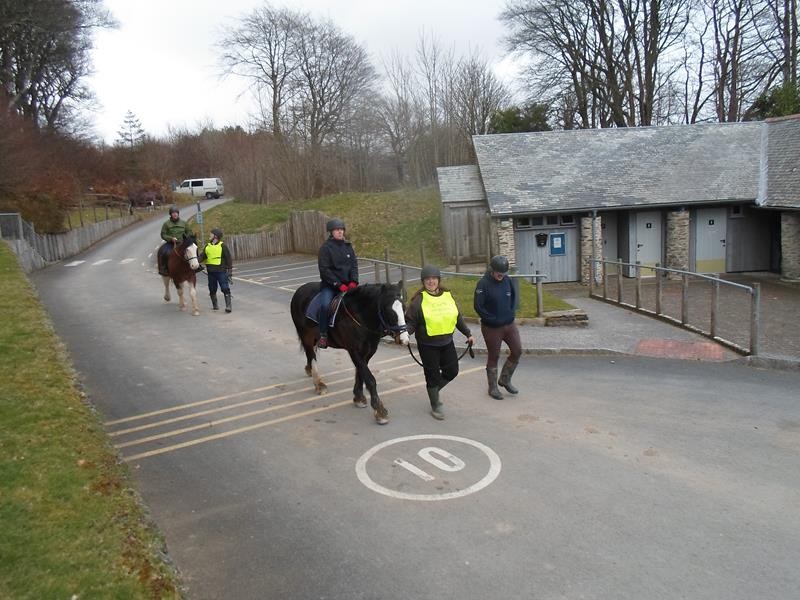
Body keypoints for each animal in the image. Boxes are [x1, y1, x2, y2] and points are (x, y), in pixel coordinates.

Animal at [290, 284, 410, 424]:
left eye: (404, 308)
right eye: (388, 310)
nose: (404, 339)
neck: (360, 317)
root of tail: (300, 289)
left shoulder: (368, 351)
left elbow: (361, 374)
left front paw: (358, 397)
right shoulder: (354, 351)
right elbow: (370, 379)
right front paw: (379, 410)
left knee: (310, 354)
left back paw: (309, 370)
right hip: (306, 335)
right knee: (311, 355)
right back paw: (318, 383)